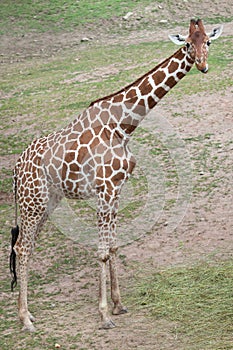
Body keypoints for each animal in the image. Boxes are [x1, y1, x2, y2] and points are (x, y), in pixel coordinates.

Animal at [10, 19, 223, 330]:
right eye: (186, 44)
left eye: (207, 41)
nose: (202, 66)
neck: (123, 126)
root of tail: (15, 170)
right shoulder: (105, 188)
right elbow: (101, 251)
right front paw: (104, 315)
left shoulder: (117, 188)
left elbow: (113, 246)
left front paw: (118, 304)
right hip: (33, 202)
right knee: (22, 248)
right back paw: (26, 319)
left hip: (47, 201)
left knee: (25, 245)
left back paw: (29, 313)